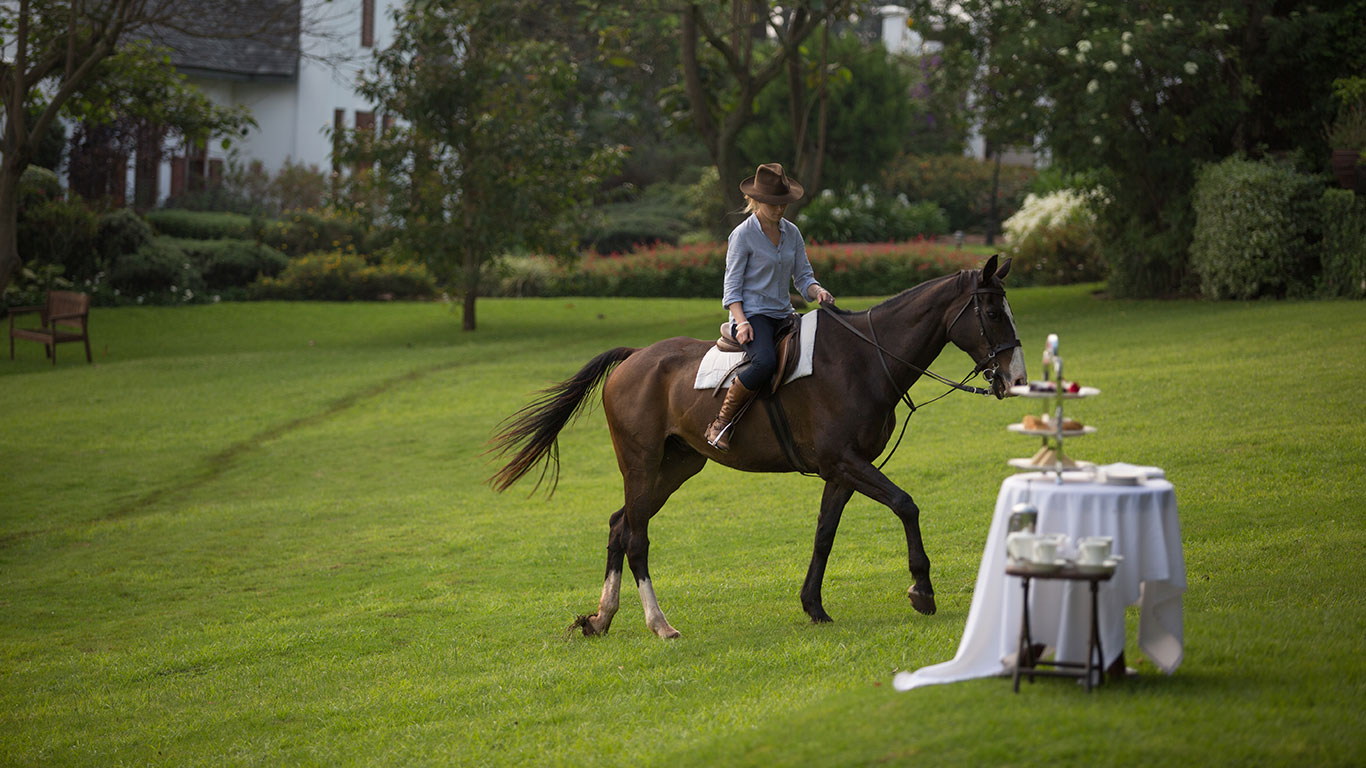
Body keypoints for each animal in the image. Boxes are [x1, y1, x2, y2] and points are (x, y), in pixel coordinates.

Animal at [489, 254, 1027, 638]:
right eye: (992, 312)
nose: (1017, 379)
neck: (864, 358)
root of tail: (635, 357)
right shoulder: (845, 461)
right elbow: (905, 504)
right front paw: (922, 589)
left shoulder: (840, 469)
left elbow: (824, 533)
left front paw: (814, 605)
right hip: (641, 464)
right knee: (636, 536)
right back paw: (659, 624)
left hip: (675, 467)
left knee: (621, 525)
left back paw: (601, 619)